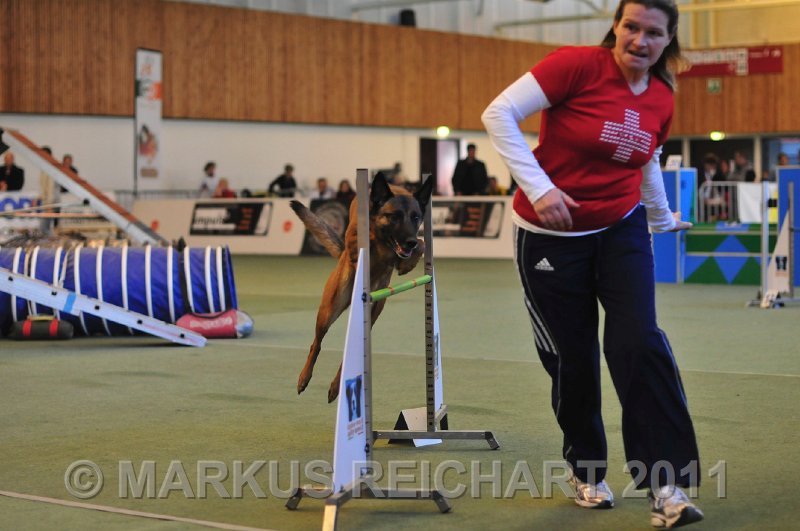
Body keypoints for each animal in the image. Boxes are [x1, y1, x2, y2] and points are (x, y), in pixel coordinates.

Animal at [290, 172, 434, 402]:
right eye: (394, 216)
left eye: (416, 217)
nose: (409, 242)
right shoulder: (357, 240)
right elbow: (367, 245)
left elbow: (422, 243)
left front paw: (407, 262)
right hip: (330, 309)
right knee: (316, 343)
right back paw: (304, 378)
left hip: (372, 314)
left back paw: (336, 386)